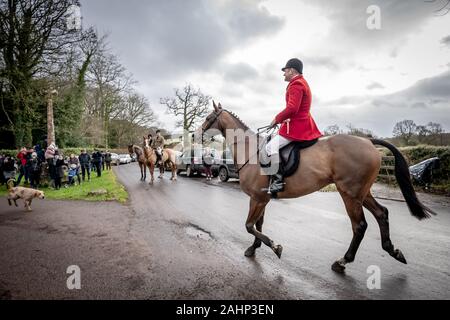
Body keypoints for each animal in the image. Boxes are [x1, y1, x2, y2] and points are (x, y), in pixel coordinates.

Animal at [201, 102, 436, 272]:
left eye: (208, 118)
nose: (198, 134)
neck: (250, 150)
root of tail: (368, 141)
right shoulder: (262, 198)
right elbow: (258, 224)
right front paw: (254, 248)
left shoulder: (257, 198)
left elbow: (250, 225)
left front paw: (275, 247)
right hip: (362, 192)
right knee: (382, 213)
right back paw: (392, 251)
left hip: (349, 194)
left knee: (359, 226)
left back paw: (342, 261)